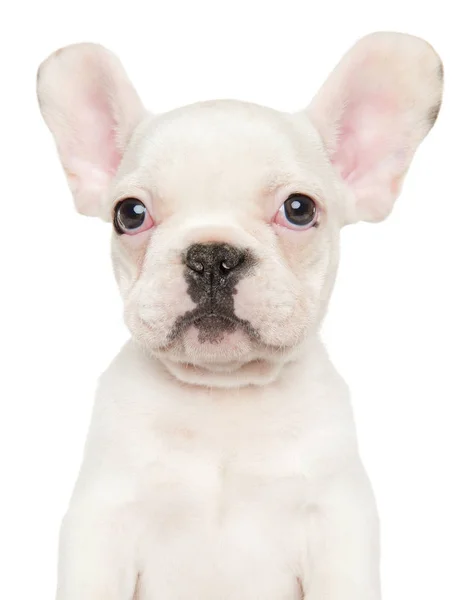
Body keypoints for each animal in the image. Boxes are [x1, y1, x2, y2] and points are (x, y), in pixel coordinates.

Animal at [36, 31, 442, 600]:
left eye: (299, 209)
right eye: (129, 214)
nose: (212, 256)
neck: (223, 395)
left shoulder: (335, 525)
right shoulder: (103, 523)